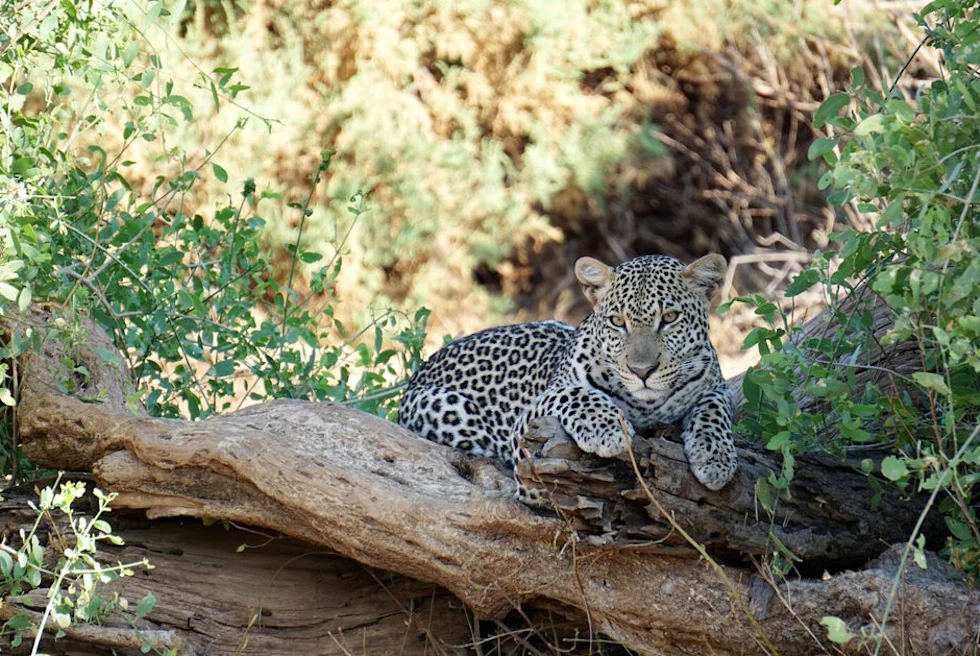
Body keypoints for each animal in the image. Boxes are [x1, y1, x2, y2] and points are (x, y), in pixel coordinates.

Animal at [396, 254, 736, 500]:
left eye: (670, 318)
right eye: (617, 321)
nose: (642, 371)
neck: (647, 407)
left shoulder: (716, 385)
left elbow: (715, 405)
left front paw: (715, 457)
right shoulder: (528, 420)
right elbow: (575, 393)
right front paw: (608, 429)